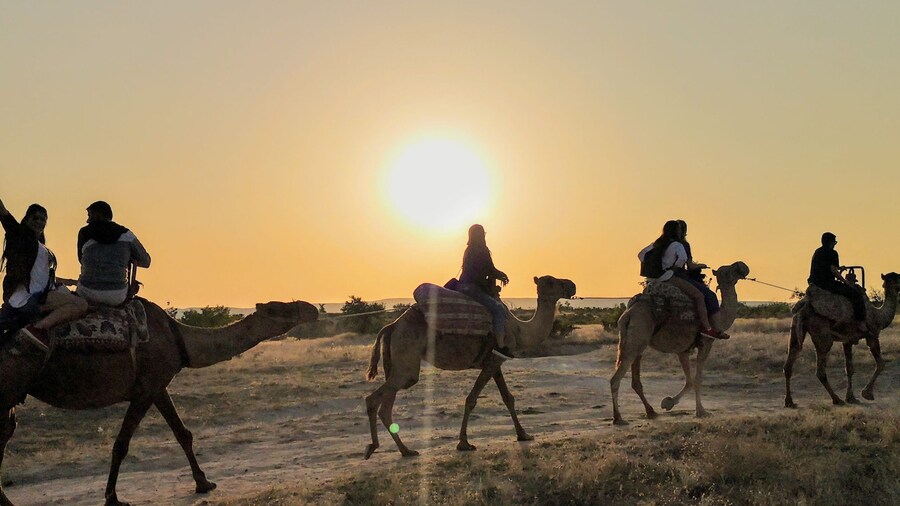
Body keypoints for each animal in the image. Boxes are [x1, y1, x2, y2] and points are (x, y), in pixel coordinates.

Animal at [0, 298, 318, 506]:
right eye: (284, 308)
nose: (312, 309)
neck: (180, 338)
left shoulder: (158, 385)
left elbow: (182, 433)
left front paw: (204, 483)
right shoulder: (146, 388)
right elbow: (121, 444)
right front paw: (113, 498)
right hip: (9, 385)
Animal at [363, 275, 576, 459]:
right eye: (551, 281)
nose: (572, 285)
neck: (519, 330)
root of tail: (392, 326)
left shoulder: (495, 361)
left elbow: (508, 398)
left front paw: (523, 434)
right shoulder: (494, 359)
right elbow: (472, 399)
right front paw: (464, 443)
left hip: (396, 362)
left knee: (386, 405)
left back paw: (405, 450)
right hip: (406, 360)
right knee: (375, 398)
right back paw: (374, 447)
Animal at [610, 262, 750, 425]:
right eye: (727, 272)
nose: (743, 266)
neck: (718, 318)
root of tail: (629, 313)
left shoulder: (682, 350)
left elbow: (689, 381)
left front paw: (668, 403)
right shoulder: (706, 343)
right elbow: (697, 379)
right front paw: (701, 412)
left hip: (635, 342)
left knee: (635, 380)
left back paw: (651, 412)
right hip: (637, 338)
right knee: (616, 378)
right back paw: (618, 418)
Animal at [784, 272, 900, 408]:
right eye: (898, 278)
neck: (878, 316)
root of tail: (804, 305)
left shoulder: (847, 340)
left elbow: (849, 369)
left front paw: (851, 397)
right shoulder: (872, 335)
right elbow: (881, 363)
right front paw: (867, 394)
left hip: (795, 327)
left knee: (790, 360)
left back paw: (789, 402)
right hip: (822, 333)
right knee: (820, 370)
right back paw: (836, 399)